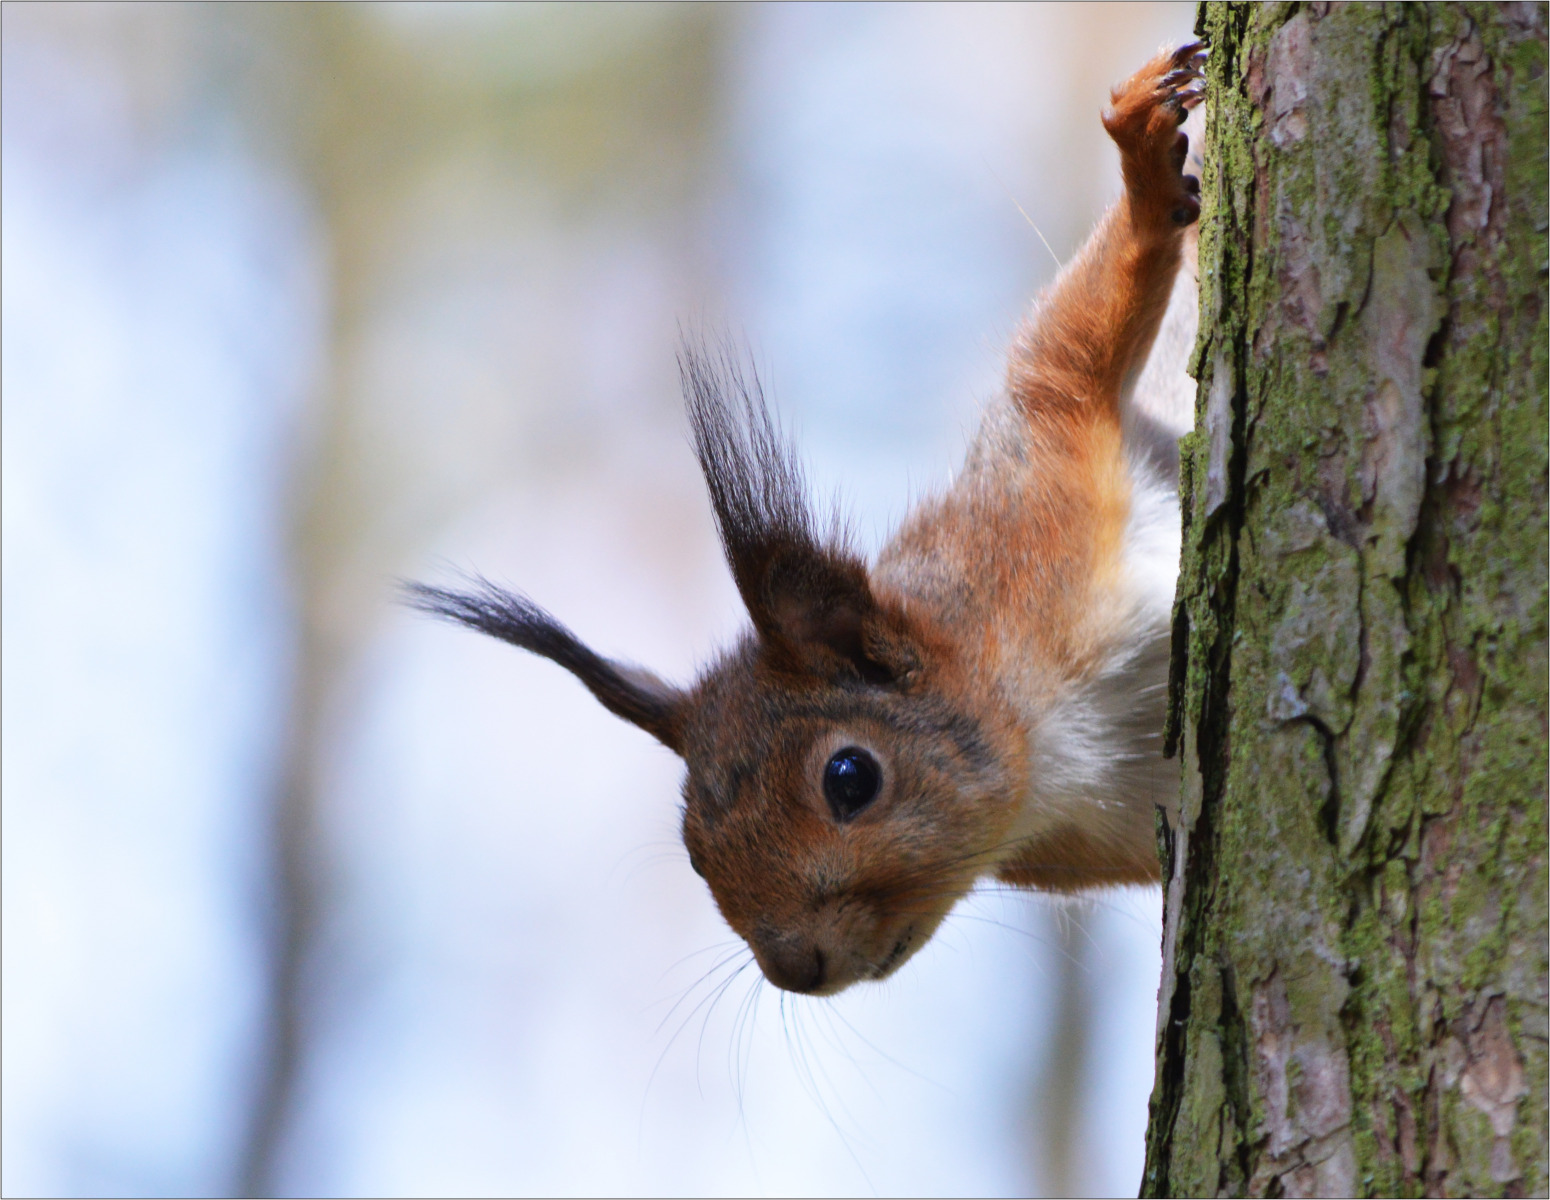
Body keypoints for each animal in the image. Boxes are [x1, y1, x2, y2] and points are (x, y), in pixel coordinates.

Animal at [412, 44, 1209, 998]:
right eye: (694, 849)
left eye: (850, 778)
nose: (795, 968)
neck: (1052, 745)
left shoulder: (1034, 494)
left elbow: (1070, 348)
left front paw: (1144, 160)